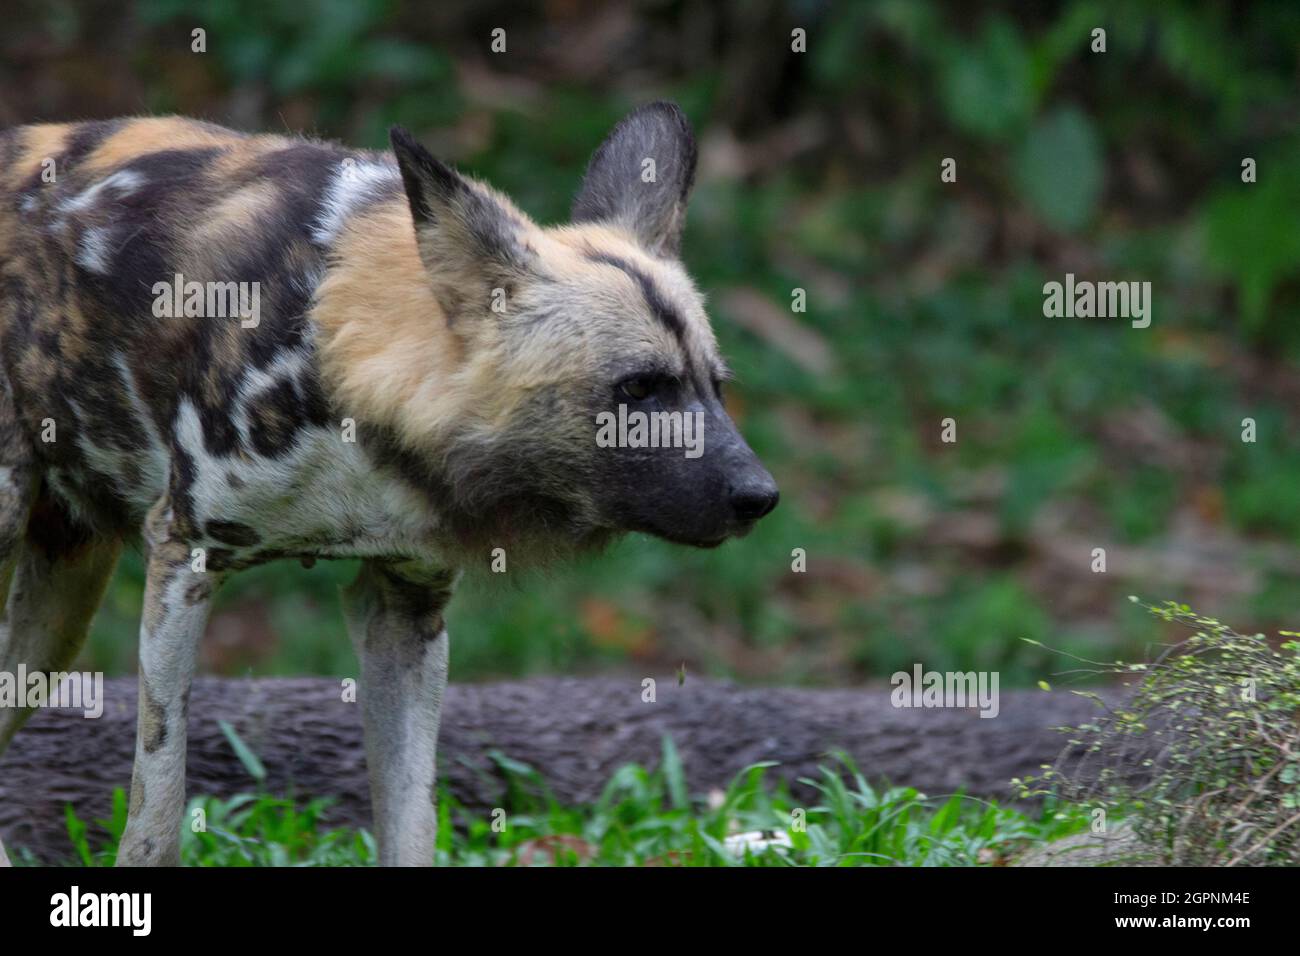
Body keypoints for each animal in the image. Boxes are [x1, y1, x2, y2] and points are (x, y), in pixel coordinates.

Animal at [0, 104, 769, 868]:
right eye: (638, 388)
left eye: (717, 387)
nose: (761, 497)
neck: (346, 368)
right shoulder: (185, 559)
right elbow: (155, 819)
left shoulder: (405, 607)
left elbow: (410, 822)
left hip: (56, 620)